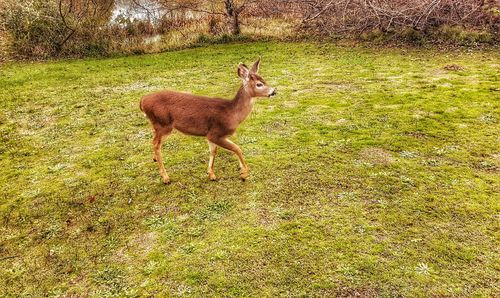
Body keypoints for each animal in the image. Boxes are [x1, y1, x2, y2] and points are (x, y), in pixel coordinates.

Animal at [139, 57, 276, 184]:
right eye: (259, 84)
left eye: (264, 80)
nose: (274, 91)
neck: (232, 114)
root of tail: (142, 101)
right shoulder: (216, 133)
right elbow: (237, 148)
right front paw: (244, 173)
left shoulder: (209, 135)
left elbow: (213, 152)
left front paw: (211, 174)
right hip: (164, 124)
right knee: (156, 144)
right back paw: (165, 177)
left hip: (157, 124)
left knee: (154, 141)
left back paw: (155, 159)